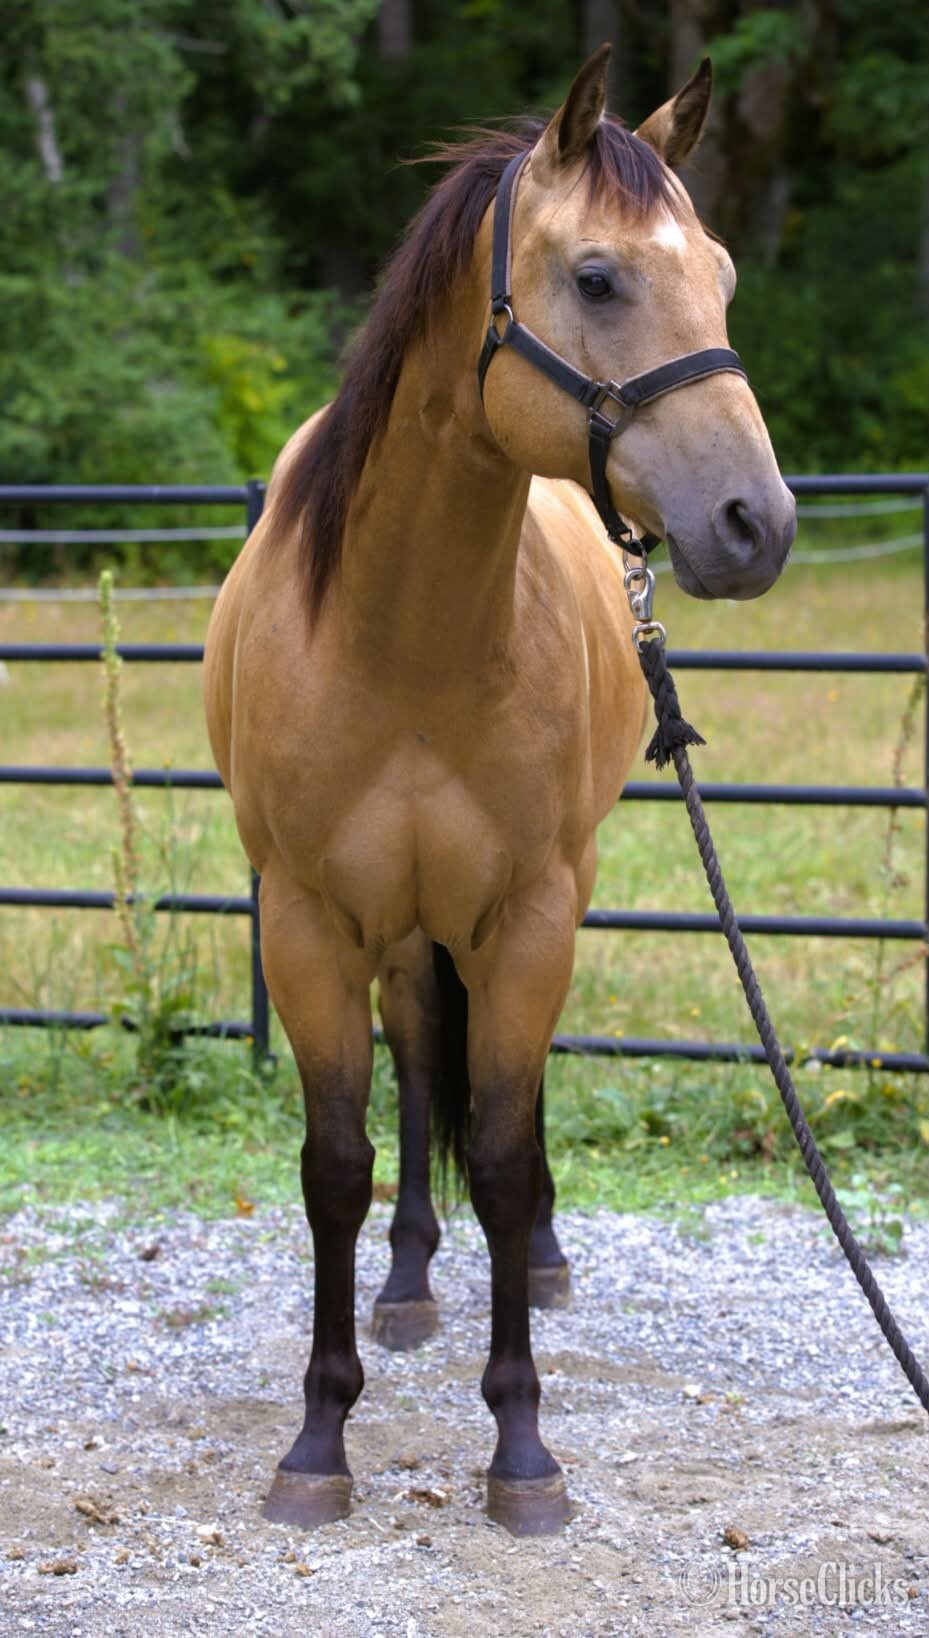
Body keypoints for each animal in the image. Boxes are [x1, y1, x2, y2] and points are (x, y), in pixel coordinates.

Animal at [203, 44, 795, 1537]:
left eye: (721, 272)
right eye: (596, 276)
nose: (756, 524)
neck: (402, 639)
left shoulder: (530, 915)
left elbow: (513, 1148)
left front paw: (521, 1444)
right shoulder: (306, 920)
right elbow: (336, 1165)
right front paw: (320, 1434)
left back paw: (531, 1261)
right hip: (401, 922)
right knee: (422, 1061)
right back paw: (411, 1280)